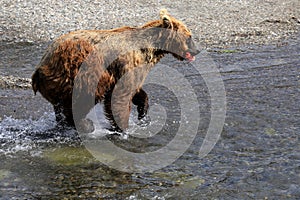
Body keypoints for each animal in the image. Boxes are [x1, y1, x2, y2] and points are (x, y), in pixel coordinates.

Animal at [31, 9, 199, 132]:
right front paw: (123, 128)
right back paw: (85, 124)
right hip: (76, 70)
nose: (197, 50)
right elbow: (121, 95)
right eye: (190, 36)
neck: (150, 48)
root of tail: (39, 67)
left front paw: (143, 115)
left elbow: (137, 91)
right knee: (83, 96)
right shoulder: (126, 63)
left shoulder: (134, 68)